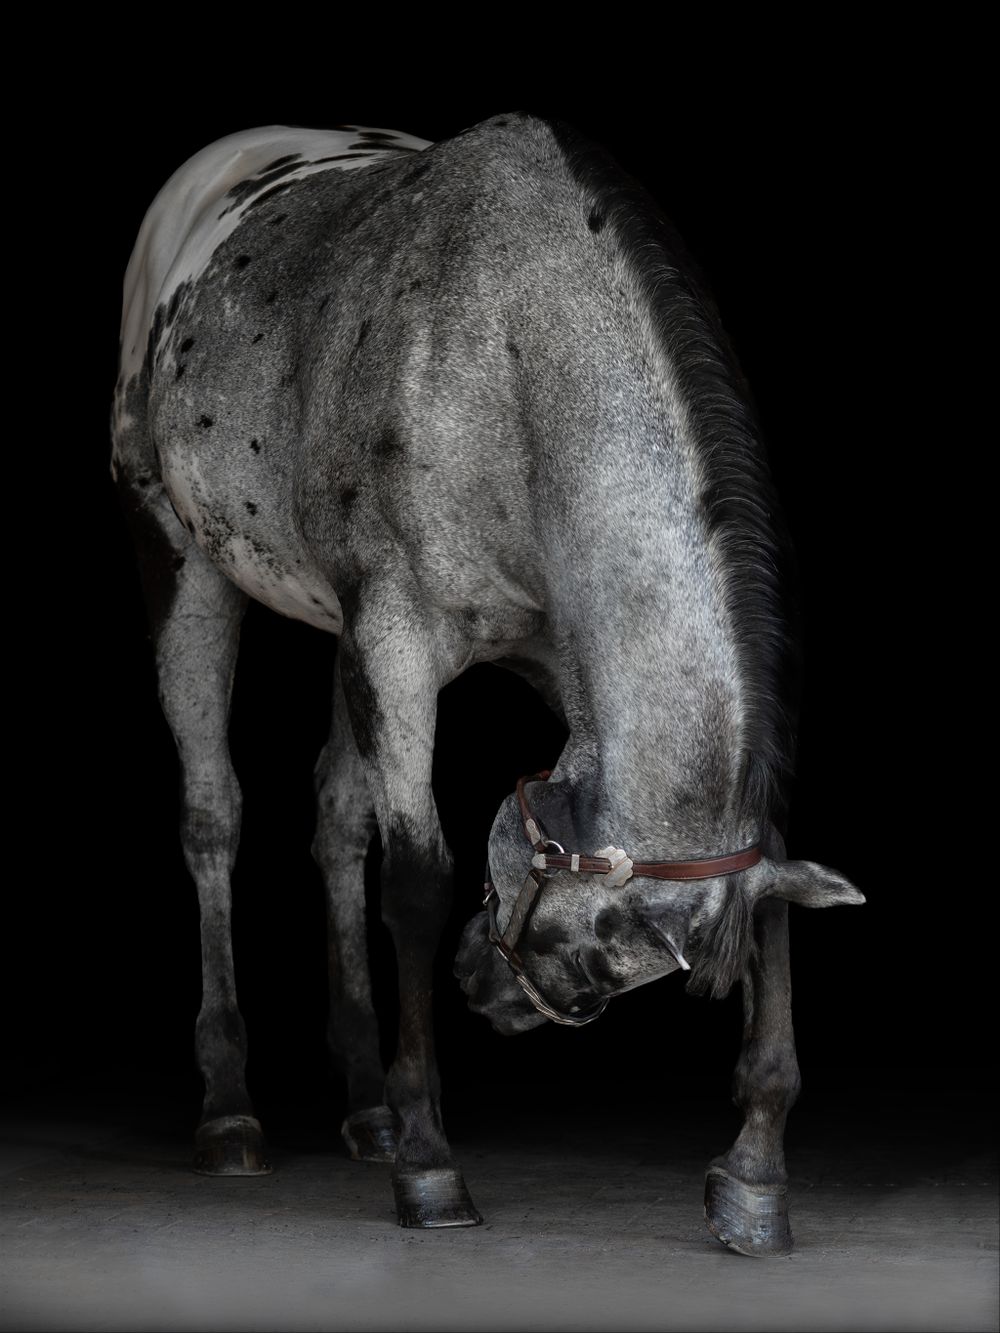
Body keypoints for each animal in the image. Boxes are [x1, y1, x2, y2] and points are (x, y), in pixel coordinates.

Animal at [110, 111, 863, 1256]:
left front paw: (753, 1176)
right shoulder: (398, 640)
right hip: (183, 556)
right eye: (585, 957)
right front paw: (430, 1164)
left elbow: (769, 889)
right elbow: (416, 879)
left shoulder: (545, 660)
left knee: (335, 818)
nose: (479, 985)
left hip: (338, 624)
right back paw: (232, 1108)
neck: (511, 362)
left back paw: (365, 1103)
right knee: (211, 817)